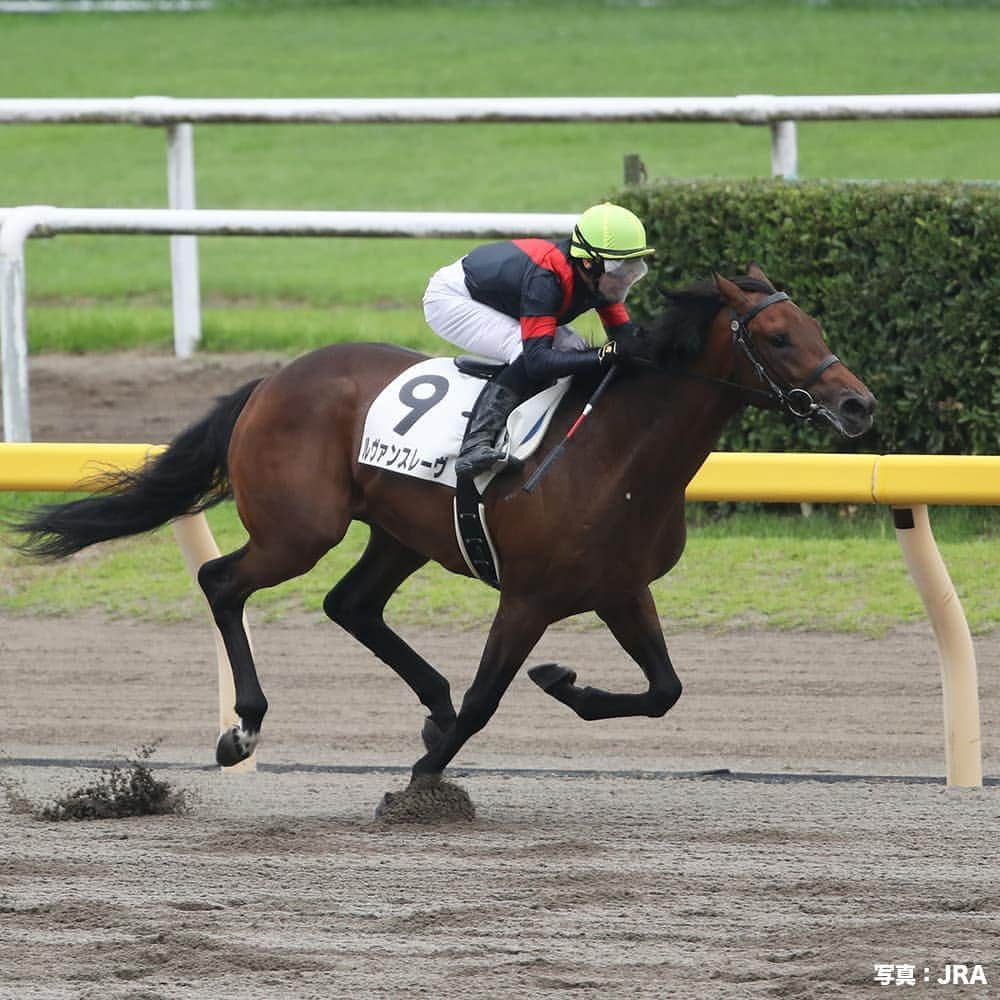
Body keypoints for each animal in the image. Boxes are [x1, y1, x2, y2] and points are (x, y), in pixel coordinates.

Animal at [11, 264, 872, 796]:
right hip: (300, 529)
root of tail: (273, 379)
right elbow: (490, 700)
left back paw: (430, 703)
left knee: (351, 606)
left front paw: (561, 684)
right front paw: (421, 781)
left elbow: (664, 690)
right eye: (777, 337)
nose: (858, 404)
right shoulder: (528, 596)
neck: (619, 448)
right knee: (222, 580)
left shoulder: (619, 588)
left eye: (814, 323)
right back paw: (243, 730)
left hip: (399, 531)